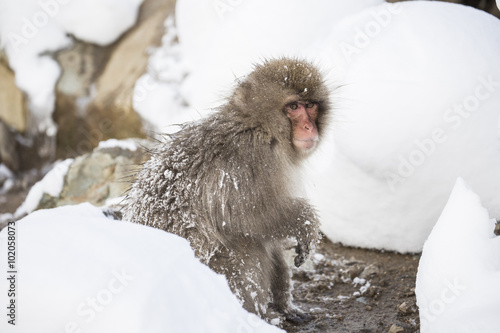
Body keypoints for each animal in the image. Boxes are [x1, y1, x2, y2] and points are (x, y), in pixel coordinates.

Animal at [123, 58, 330, 322]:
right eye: (293, 106)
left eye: (310, 105)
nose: (308, 126)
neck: (258, 127)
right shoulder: (250, 160)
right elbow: (251, 216)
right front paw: (306, 223)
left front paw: (286, 302)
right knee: (244, 248)